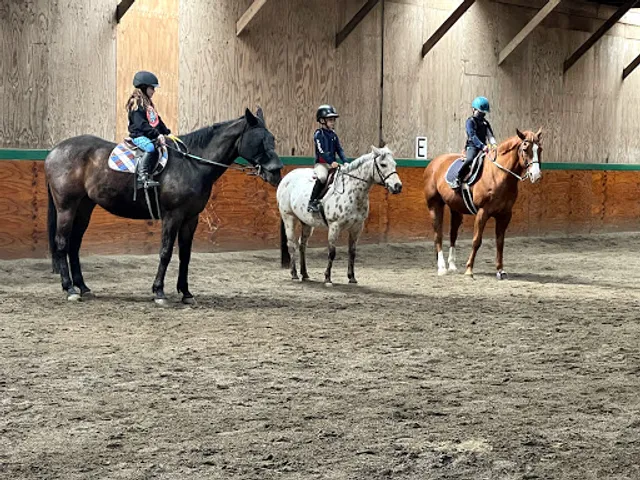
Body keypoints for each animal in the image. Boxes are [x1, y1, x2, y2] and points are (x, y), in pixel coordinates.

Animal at [46, 108, 283, 305]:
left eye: (272, 138)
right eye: (259, 139)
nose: (276, 172)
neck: (192, 163)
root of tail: (55, 151)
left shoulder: (191, 218)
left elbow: (185, 254)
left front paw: (186, 293)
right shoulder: (172, 216)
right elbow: (166, 252)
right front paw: (159, 292)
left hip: (84, 207)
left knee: (74, 244)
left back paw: (82, 287)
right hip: (66, 207)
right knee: (62, 243)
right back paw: (69, 289)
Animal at [277, 146, 402, 286]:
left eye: (394, 164)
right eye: (383, 164)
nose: (398, 186)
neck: (353, 192)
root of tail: (287, 177)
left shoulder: (357, 227)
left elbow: (352, 252)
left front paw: (352, 277)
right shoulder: (334, 226)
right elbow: (332, 252)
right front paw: (327, 278)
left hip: (307, 223)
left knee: (302, 245)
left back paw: (305, 274)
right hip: (289, 217)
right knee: (291, 244)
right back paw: (294, 274)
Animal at [423, 129, 543, 279]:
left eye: (540, 149)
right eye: (525, 149)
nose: (536, 175)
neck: (498, 175)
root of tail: (434, 163)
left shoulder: (505, 215)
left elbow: (500, 242)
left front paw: (500, 270)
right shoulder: (483, 212)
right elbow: (476, 240)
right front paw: (469, 270)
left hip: (455, 209)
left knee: (453, 234)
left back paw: (452, 265)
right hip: (434, 205)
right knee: (438, 234)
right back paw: (442, 268)